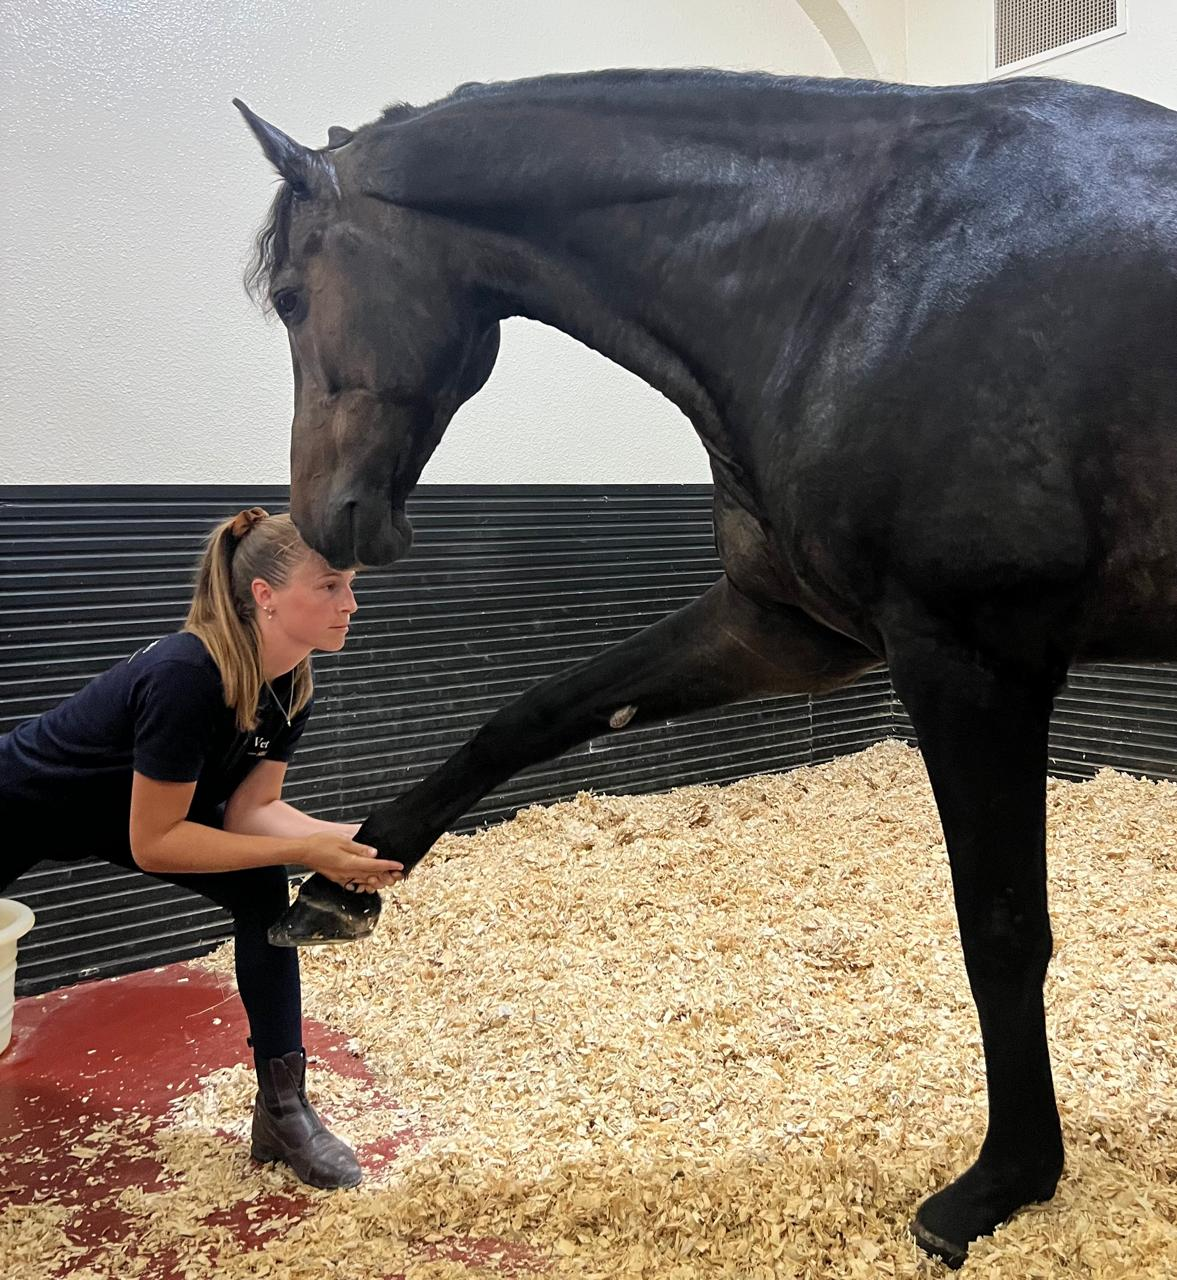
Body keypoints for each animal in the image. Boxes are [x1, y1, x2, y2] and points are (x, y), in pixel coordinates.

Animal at [234, 69, 1177, 1266]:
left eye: (293, 297)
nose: (324, 520)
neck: (862, 266)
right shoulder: (784, 628)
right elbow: (534, 713)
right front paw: (345, 879)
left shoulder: (969, 661)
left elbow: (1001, 928)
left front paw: (1004, 1181)